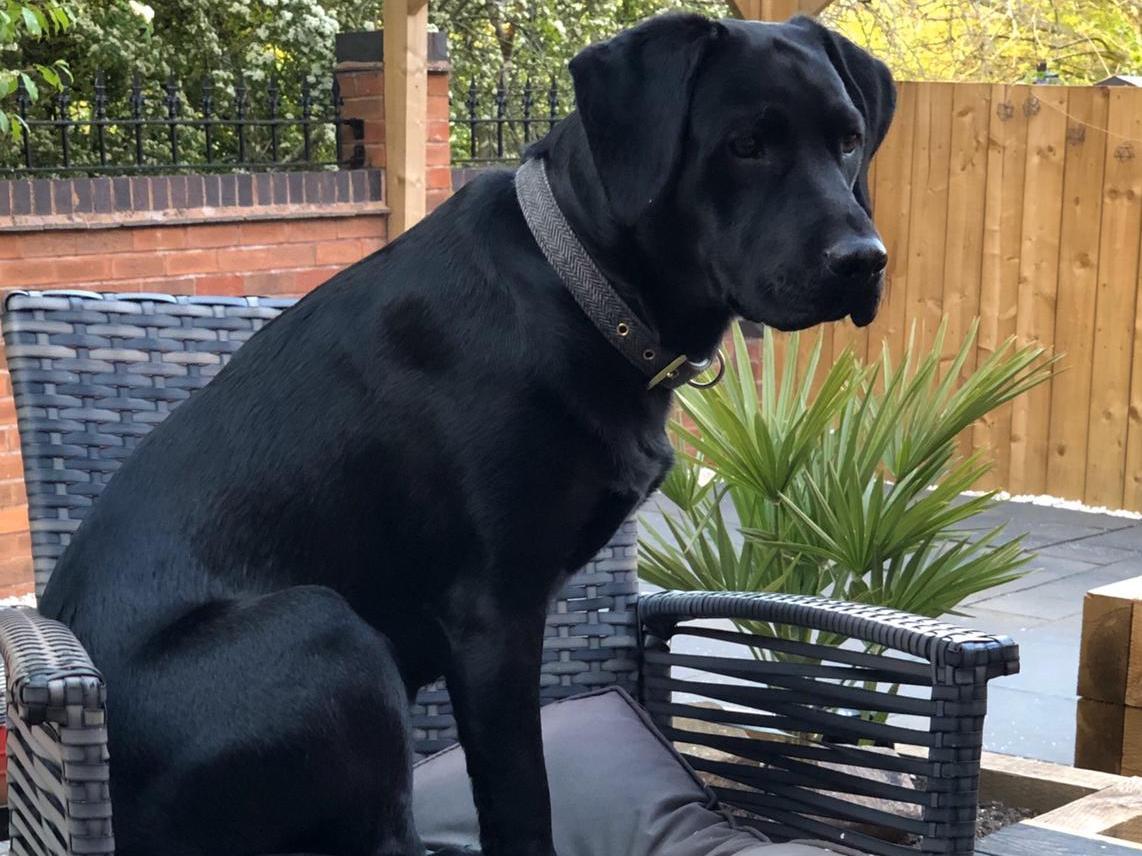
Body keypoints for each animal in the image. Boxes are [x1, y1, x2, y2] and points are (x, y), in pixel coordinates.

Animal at [37, 11, 890, 856]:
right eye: (745, 146)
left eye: (849, 139)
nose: (864, 261)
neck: (584, 286)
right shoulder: (493, 615)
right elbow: (520, 804)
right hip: (330, 635)